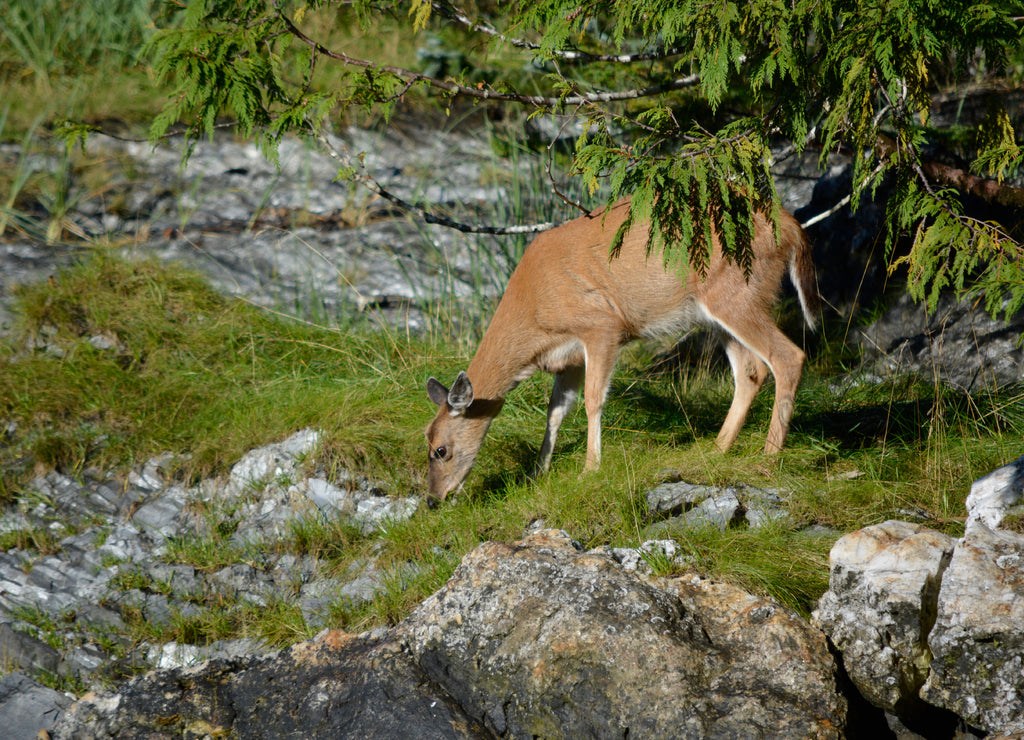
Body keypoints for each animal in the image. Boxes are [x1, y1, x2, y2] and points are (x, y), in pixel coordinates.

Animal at [425, 198, 820, 506]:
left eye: (440, 450)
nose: (432, 500)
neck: (533, 313)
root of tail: (791, 226)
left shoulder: (601, 325)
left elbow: (593, 399)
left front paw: (589, 468)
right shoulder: (568, 357)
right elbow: (555, 411)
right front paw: (537, 473)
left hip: (739, 291)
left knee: (788, 356)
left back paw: (768, 455)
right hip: (720, 310)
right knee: (751, 371)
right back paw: (717, 449)